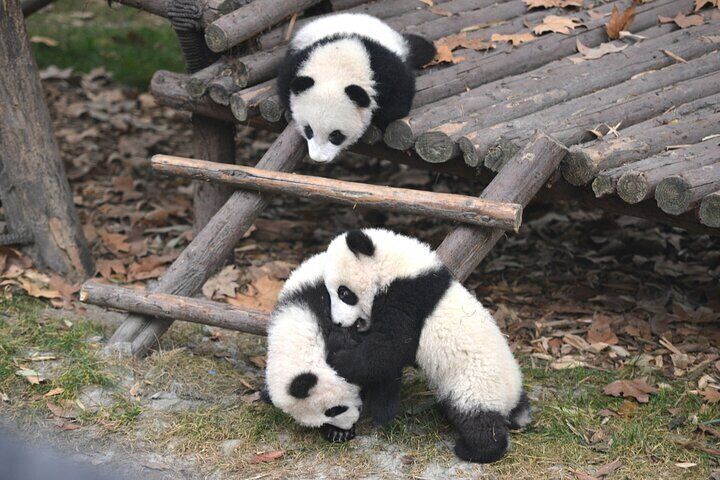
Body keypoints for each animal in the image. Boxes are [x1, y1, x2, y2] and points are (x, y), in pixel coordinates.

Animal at [277, 13, 436, 163]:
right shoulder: (301, 60)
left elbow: (397, 103)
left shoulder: (386, 73)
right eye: (309, 130)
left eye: (335, 135)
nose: (318, 159)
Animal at [321, 229, 532, 463]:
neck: (395, 266)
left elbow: (388, 348)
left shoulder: (408, 297)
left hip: (474, 385)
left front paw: (338, 358)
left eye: (344, 293)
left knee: (479, 421)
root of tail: (511, 402)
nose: (339, 322)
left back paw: (475, 450)